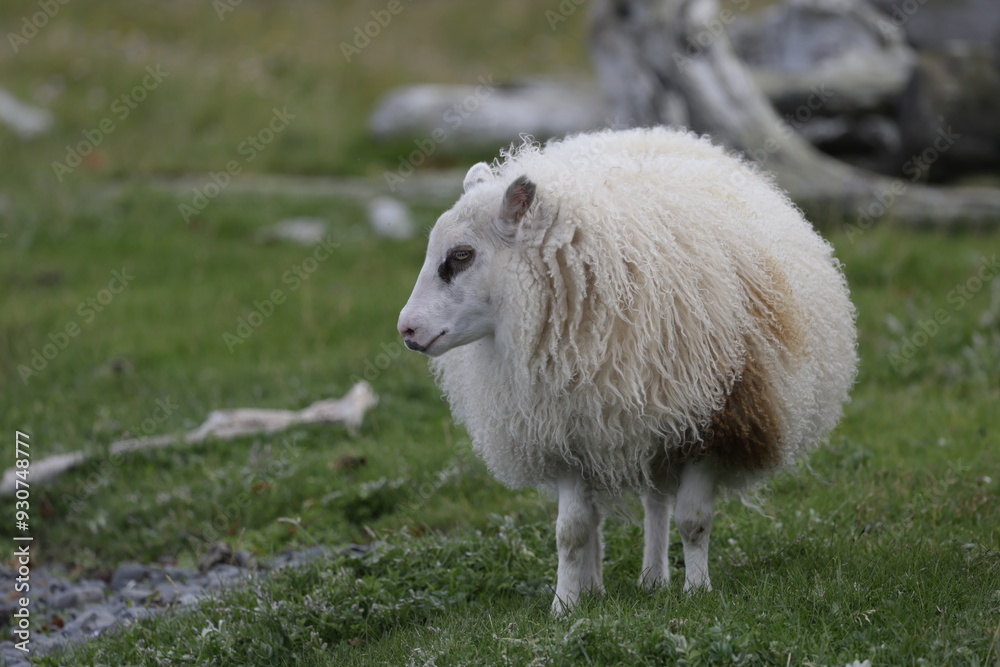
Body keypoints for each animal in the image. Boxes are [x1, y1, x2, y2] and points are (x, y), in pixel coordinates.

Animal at [394, 126, 856, 616]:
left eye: (461, 255)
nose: (406, 329)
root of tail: (653, 133)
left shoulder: (713, 422)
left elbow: (693, 520)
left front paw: (698, 592)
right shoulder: (564, 430)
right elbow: (571, 531)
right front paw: (564, 606)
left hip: (662, 421)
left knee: (658, 503)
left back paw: (654, 577)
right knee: (616, 512)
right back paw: (602, 585)